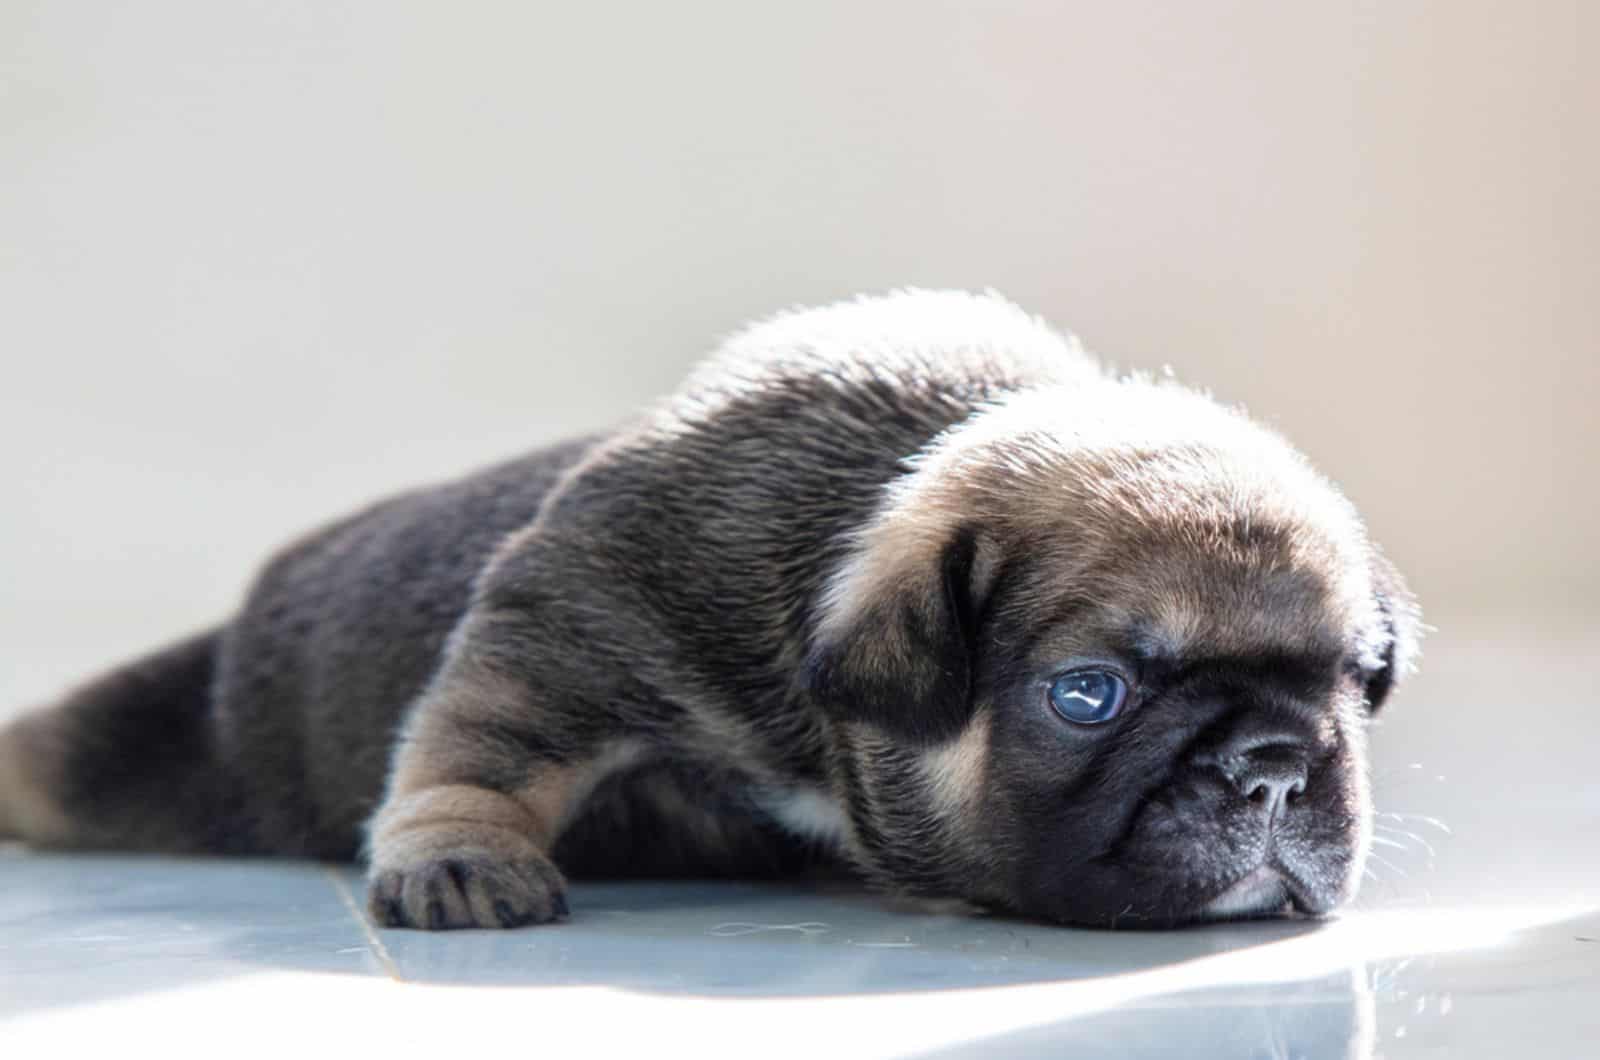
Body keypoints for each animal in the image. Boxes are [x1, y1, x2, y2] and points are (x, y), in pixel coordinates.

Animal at [0, 291, 1420, 928]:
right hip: (148, 740)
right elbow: (479, 747)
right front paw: (460, 853)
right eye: (1090, 694)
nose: (1274, 765)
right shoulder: (570, 623)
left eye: (1356, 682)